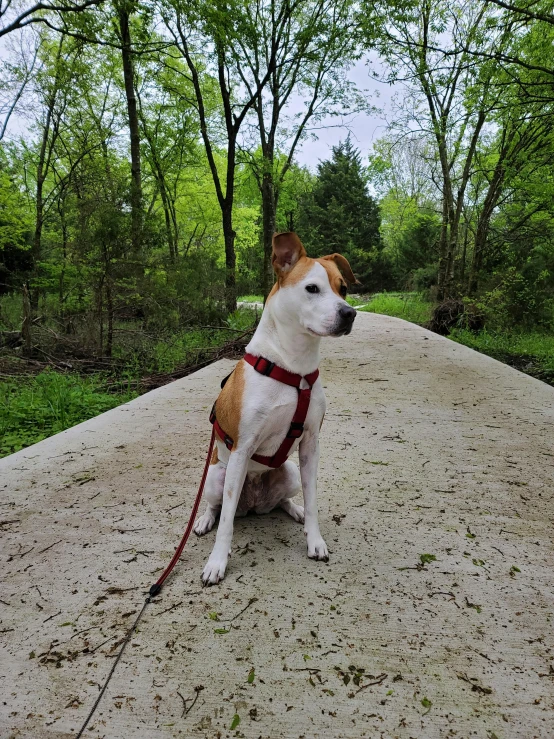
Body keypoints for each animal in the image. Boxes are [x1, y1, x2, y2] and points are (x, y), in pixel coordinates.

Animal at [193, 231, 358, 584]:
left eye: (343, 288)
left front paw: (314, 538)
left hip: (291, 471)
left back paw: (294, 510)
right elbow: (226, 522)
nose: (350, 313)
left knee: (283, 500)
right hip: (217, 476)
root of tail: (253, 504)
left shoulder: (310, 445)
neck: (293, 368)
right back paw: (203, 520)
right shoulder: (242, 449)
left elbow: (313, 499)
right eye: (312, 288)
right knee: (218, 507)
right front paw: (217, 561)